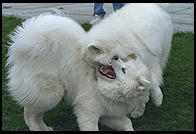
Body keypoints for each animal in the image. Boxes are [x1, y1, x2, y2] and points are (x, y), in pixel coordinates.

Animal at [6, 3, 173, 131]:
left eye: (123, 69)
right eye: (96, 63)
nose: (115, 59)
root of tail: (26, 48)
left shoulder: (151, 59)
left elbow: (152, 84)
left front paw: (155, 98)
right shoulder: (88, 109)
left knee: (35, 113)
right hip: (51, 95)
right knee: (30, 113)